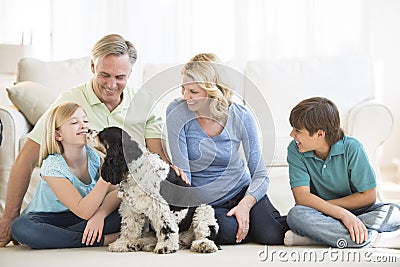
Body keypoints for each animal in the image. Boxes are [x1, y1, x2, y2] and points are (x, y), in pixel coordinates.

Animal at [86, 127, 219, 255]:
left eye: (102, 134)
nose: (87, 130)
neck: (136, 169)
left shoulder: (159, 206)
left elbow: (165, 227)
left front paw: (165, 247)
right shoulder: (131, 207)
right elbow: (130, 227)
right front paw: (124, 243)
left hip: (203, 210)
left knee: (205, 234)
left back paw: (203, 245)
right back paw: (137, 244)